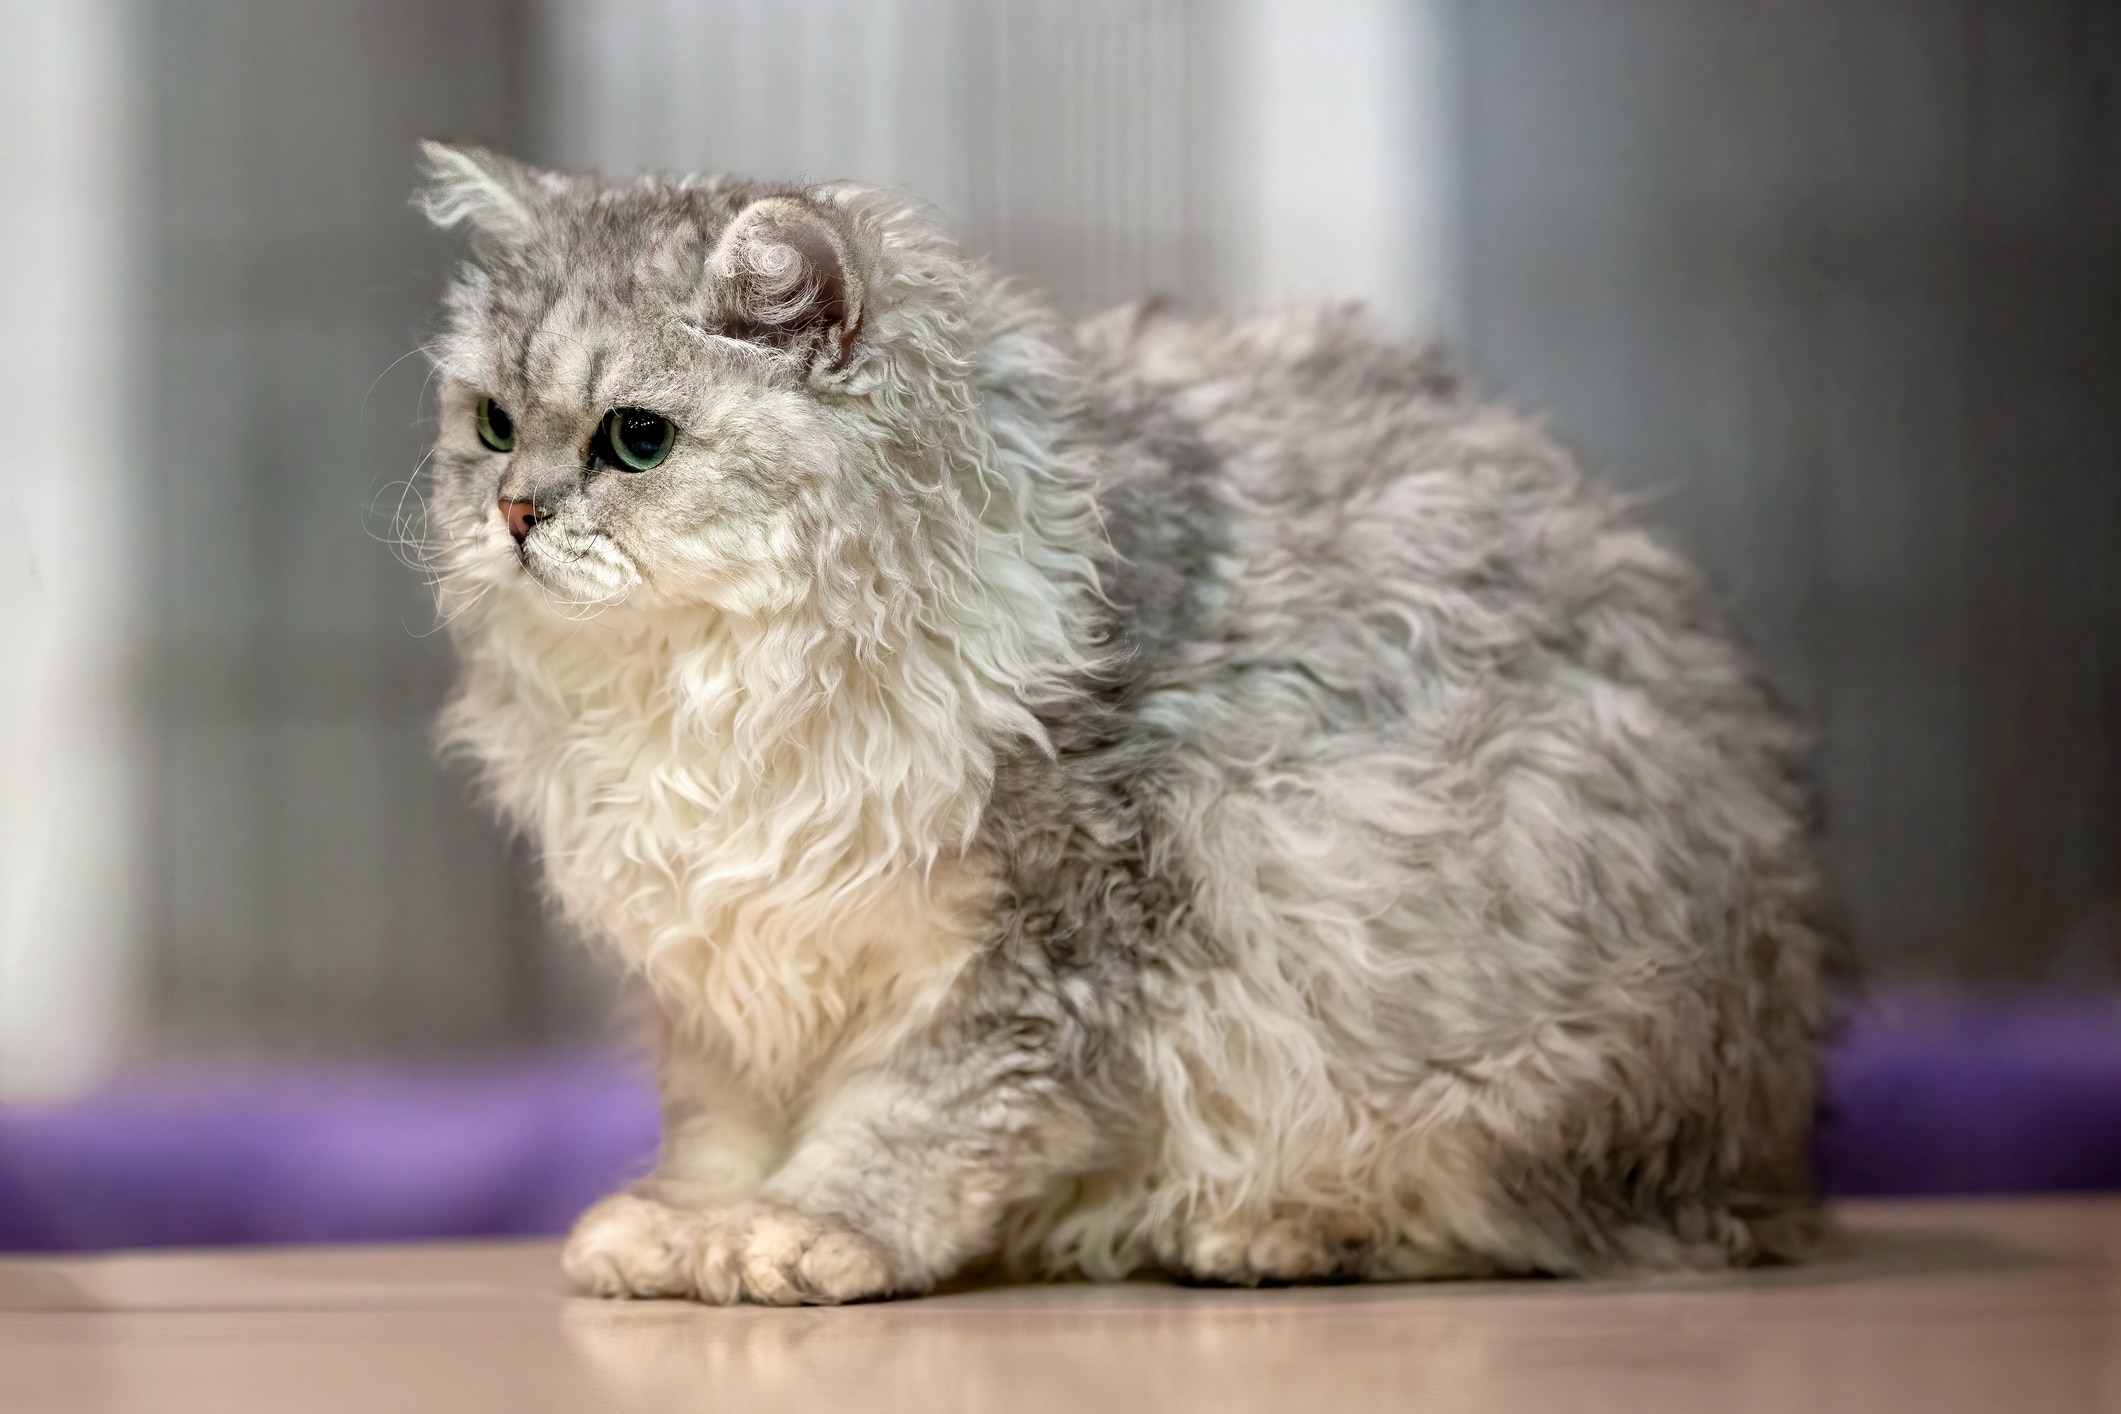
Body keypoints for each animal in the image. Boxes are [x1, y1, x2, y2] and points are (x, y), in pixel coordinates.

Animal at [413, 140, 1841, 1305]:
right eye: (493, 426)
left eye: (636, 440)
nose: (516, 514)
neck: (700, 691)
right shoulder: (716, 981)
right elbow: (722, 1135)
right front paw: (685, 1228)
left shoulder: (1055, 937)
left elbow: (905, 1124)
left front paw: (802, 1233)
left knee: (1539, 1228)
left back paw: (1273, 1234)